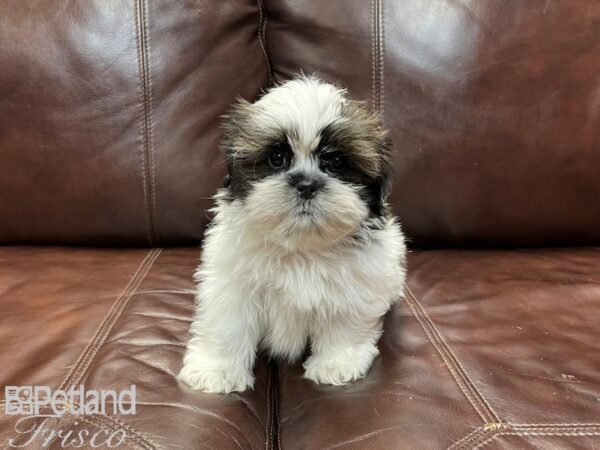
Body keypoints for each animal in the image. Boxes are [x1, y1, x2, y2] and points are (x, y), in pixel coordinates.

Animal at [176, 75, 406, 392]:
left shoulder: (358, 285)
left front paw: (336, 363)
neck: (301, 246)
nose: (306, 185)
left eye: (336, 162)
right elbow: (228, 323)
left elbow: (344, 323)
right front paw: (217, 369)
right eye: (277, 158)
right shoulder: (233, 284)